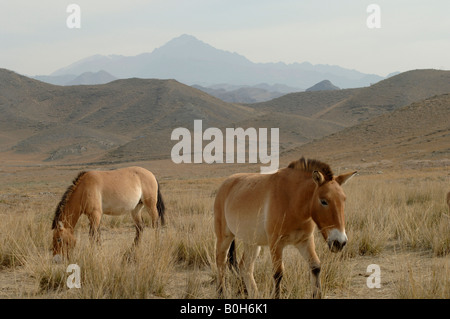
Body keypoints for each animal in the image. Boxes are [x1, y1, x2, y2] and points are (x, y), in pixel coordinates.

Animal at [213, 158, 356, 300]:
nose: (340, 242)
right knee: (221, 262)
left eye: (344, 200)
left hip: (252, 242)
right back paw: (221, 293)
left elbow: (315, 267)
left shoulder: (305, 241)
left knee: (245, 267)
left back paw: (254, 295)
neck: (292, 201)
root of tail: (224, 184)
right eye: (324, 201)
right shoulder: (276, 244)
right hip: (224, 237)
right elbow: (278, 274)